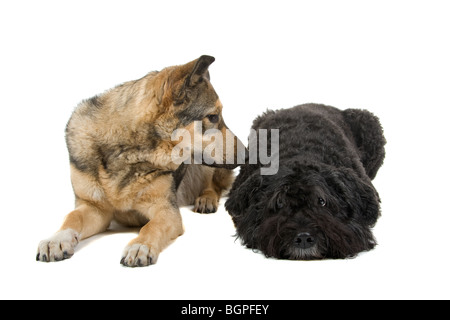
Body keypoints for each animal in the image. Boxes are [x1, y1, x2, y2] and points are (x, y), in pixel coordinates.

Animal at [36, 55, 244, 268]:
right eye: (213, 117)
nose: (246, 155)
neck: (129, 151)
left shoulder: (166, 210)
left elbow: (151, 227)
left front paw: (140, 246)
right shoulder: (94, 209)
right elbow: (72, 217)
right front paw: (57, 239)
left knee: (214, 185)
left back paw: (206, 198)